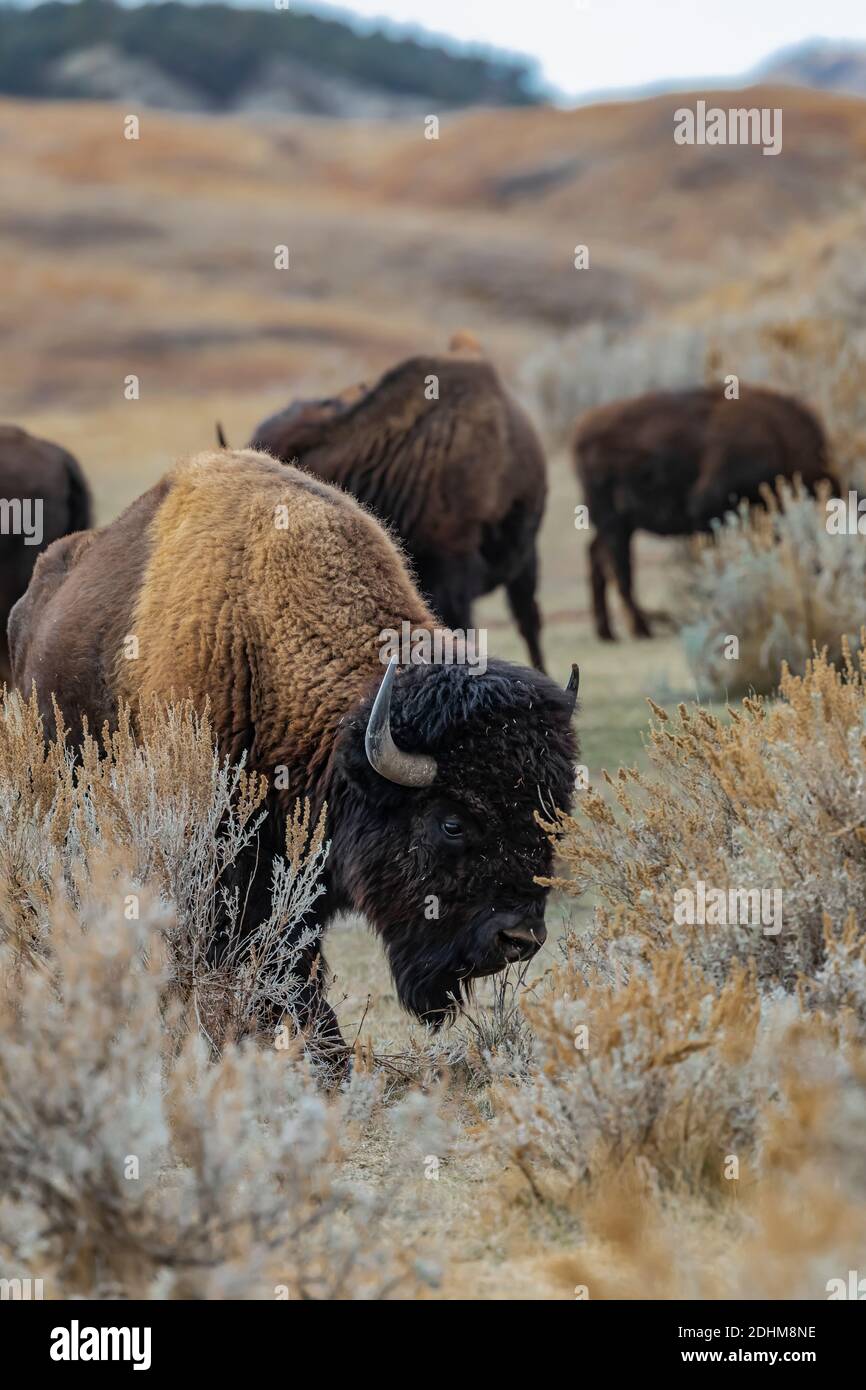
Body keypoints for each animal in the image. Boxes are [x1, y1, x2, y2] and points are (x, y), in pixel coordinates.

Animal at [574, 384, 838, 641]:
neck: (778, 437)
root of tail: (582, 430)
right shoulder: (707, 512)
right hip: (614, 524)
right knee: (620, 572)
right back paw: (640, 630)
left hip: (617, 525)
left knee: (597, 556)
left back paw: (608, 632)